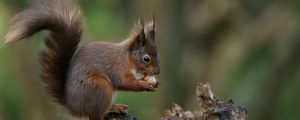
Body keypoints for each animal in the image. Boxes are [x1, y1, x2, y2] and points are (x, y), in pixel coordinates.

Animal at [4, 0, 159, 119]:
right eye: (146, 58)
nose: (157, 72)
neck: (128, 58)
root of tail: (74, 108)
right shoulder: (118, 67)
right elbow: (124, 82)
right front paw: (143, 85)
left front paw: (153, 82)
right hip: (100, 88)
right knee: (96, 116)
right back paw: (110, 110)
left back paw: (114, 107)